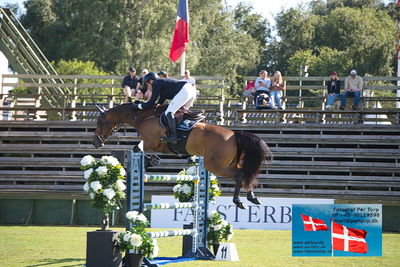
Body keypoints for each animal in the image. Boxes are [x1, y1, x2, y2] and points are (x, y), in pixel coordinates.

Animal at [92, 103, 270, 210]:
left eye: (100, 122)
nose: (96, 143)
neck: (143, 116)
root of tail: (234, 135)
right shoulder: (160, 146)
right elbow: (142, 151)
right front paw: (153, 160)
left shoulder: (150, 141)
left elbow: (136, 148)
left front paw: (149, 162)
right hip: (228, 163)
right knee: (245, 174)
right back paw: (252, 197)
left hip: (215, 166)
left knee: (240, 175)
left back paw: (239, 201)